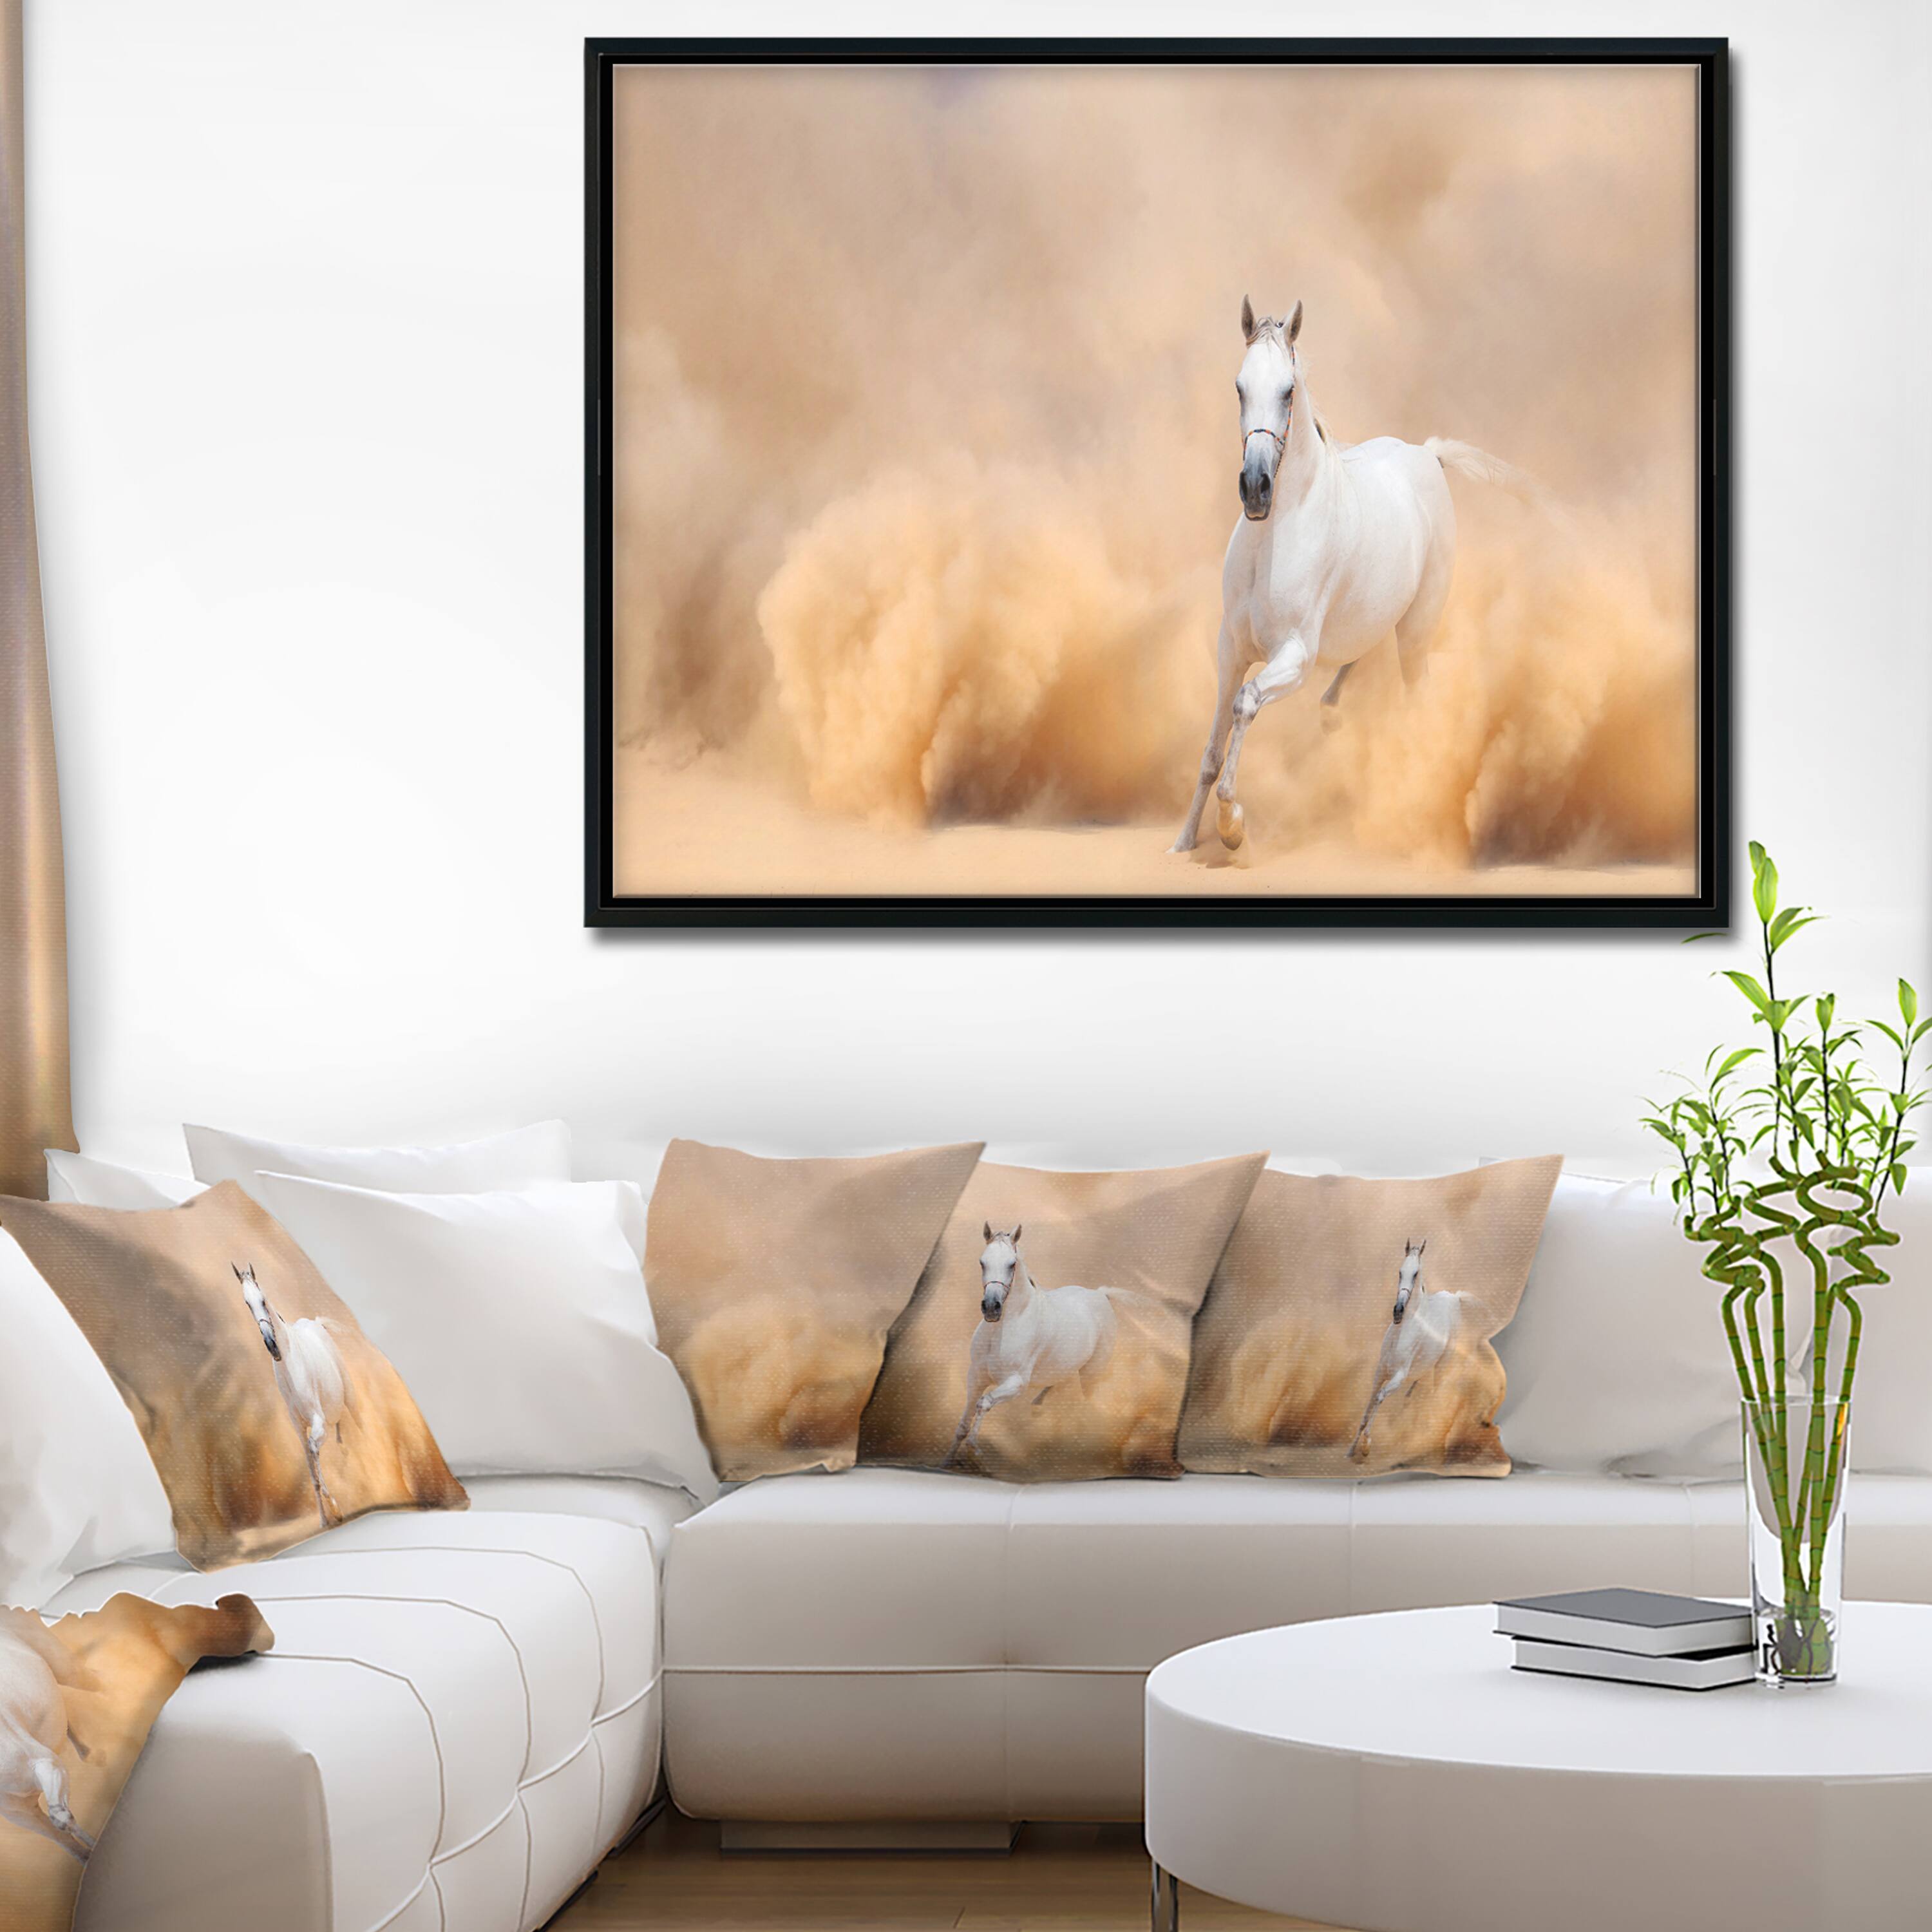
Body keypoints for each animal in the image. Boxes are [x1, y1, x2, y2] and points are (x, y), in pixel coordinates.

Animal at [235, 1263, 355, 1528]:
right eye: (247, 1304)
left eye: (263, 1299)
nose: (272, 1346)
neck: (290, 1365)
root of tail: (316, 1323)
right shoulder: (299, 1429)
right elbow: (311, 1470)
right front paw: (324, 1521)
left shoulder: (318, 1424)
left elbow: (314, 1452)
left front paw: (336, 1510)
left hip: (352, 1400)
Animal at [948, 1224, 1119, 1463]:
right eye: (982, 1262)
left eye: (1012, 1264)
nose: (991, 1308)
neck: (1002, 1331)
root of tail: (1101, 1295)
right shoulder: (976, 1376)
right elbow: (962, 1426)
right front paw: (946, 1461)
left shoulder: (1016, 1383)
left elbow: (984, 1403)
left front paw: (974, 1447)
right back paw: (1037, 1407)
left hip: (1091, 1375)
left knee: (1088, 1401)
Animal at [1171, 296, 1540, 855]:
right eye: (1239, 387)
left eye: (1288, 390)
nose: (1255, 488)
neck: (1273, 539)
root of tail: (1428, 454)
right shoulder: (1230, 650)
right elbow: (1211, 752)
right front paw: (1185, 841)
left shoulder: (1295, 657)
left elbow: (1246, 704)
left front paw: (1232, 824)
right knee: (1361, 654)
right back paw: (1332, 710)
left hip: (1416, 635)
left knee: (1414, 699)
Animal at [1349, 1239, 1471, 1463]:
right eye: (1400, 1272)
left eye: (1415, 1274)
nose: (1398, 1311)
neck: (1402, 1332)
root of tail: (1454, 1297)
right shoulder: (1380, 1372)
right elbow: (1370, 1403)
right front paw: (1351, 1450)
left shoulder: (1398, 1376)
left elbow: (1380, 1397)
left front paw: (1366, 1445)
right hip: (1424, 1368)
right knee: (1415, 1390)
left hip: (1442, 1367)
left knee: (1434, 1395)